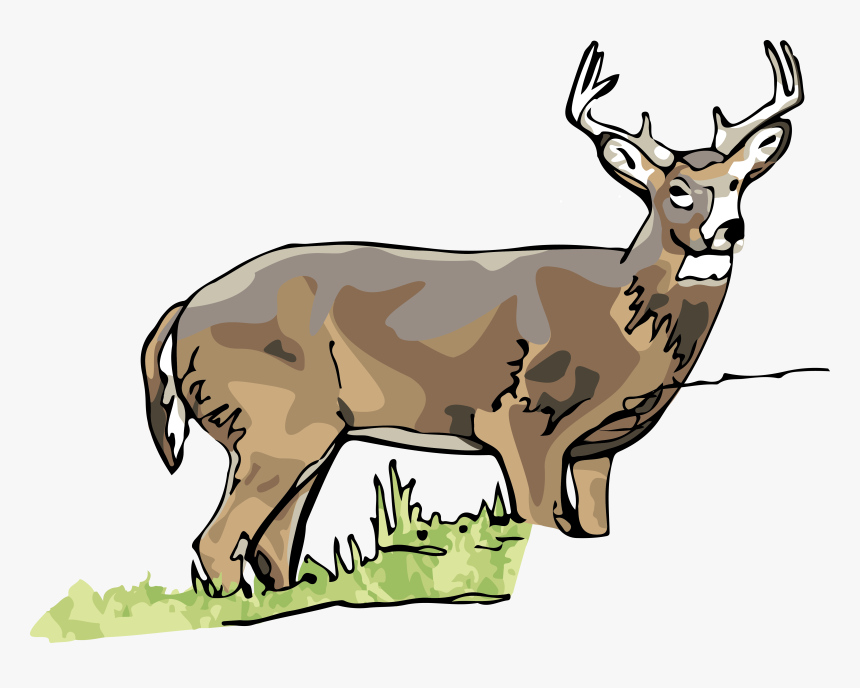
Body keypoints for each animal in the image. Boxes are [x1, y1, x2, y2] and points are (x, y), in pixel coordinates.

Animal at [142, 40, 803, 597]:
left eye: (739, 182)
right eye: (678, 191)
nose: (729, 229)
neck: (621, 320)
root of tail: (181, 310)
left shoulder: (599, 448)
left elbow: (593, 532)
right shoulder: (523, 419)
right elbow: (544, 523)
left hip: (314, 435)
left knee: (275, 544)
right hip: (272, 420)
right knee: (220, 542)